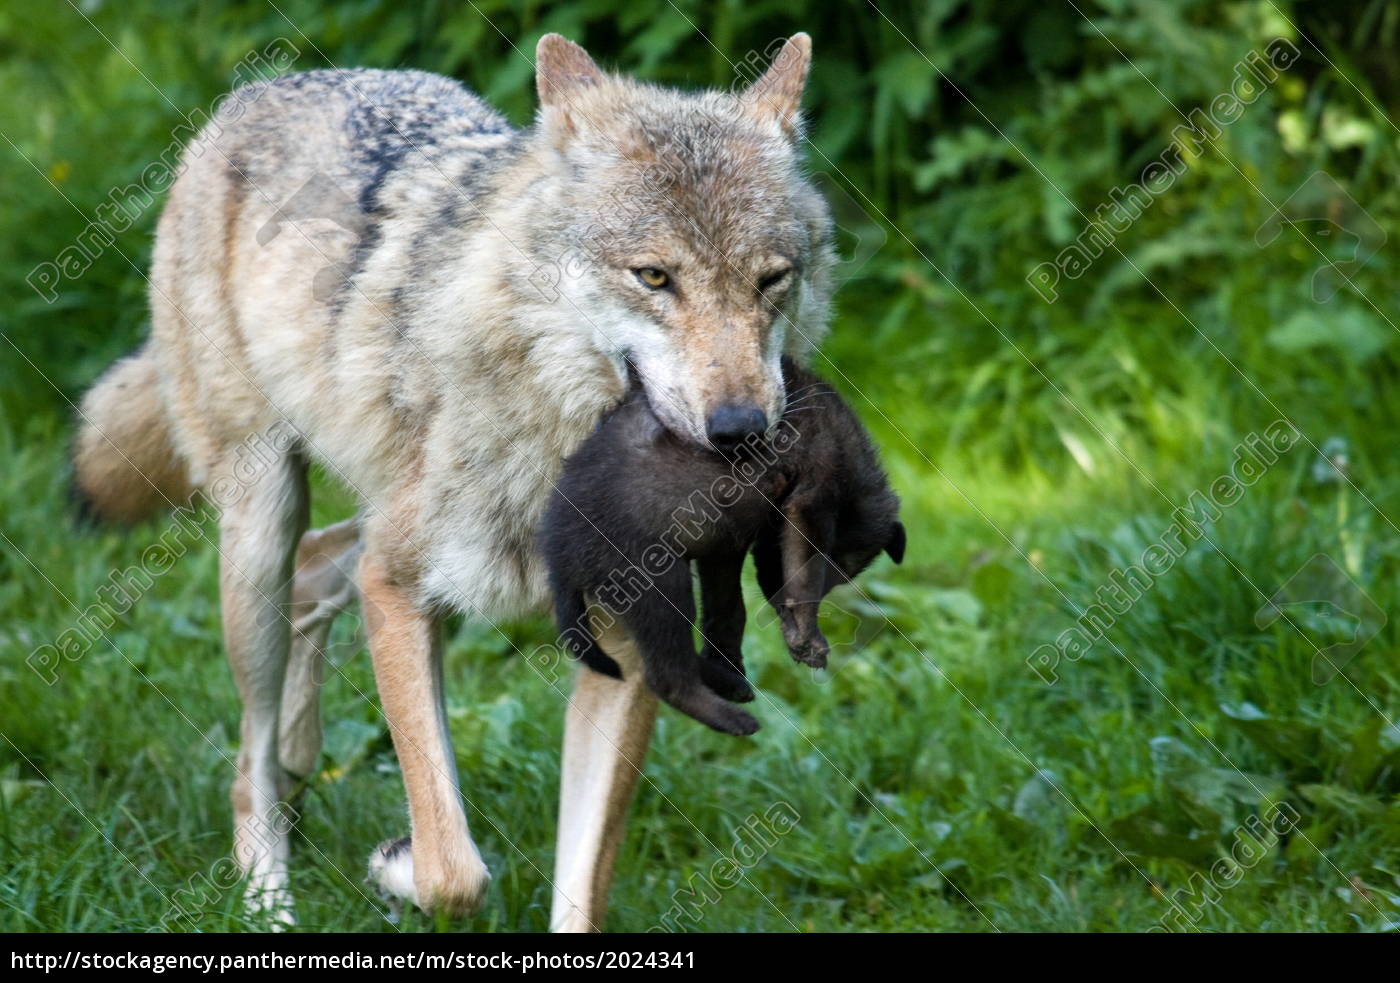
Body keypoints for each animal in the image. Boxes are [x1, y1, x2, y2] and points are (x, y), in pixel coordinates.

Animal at [68, 32, 828, 929]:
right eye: (654, 277)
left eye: (771, 279)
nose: (743, 429)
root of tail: (259, 90)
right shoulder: (397, 591)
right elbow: (452, 869)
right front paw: (394, 862)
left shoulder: (625, 651)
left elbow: (579, 891)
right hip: (262, 529)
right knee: (246, 760)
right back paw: (268, 897)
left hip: (364, 524)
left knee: (318, 574)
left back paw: (300, 758)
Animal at [540, 355, 901, 739]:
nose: (777, 602)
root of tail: (558, 555)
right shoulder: (812, 499)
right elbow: (801, 581)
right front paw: (806, 636)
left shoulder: (726, 545)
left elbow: (728, 610)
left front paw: (746, 654)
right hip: (659, 586)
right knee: (665, 676)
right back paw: (731, 717)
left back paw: (724, 680)